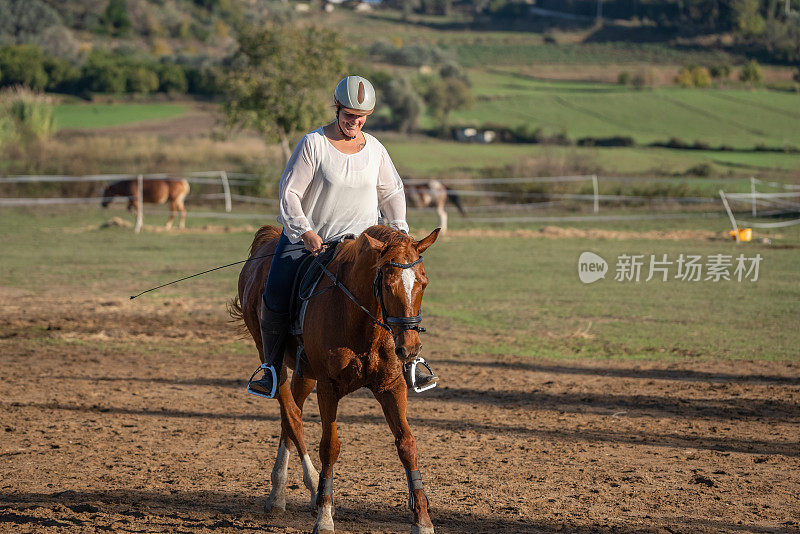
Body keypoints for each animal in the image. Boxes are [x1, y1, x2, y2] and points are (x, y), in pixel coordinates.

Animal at [231, 225, 440, 534]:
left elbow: (407, 444)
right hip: (274, 360)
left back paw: (280, 494)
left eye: (423, 283)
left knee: (290, 414)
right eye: (388, 285)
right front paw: (325, 515)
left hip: (306, 373)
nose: (409, 348)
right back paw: (308, 488)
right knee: (291, 415)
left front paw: (422, 520)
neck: (360, 319)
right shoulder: (328, 388)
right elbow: (330, 447)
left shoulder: (391, 386)